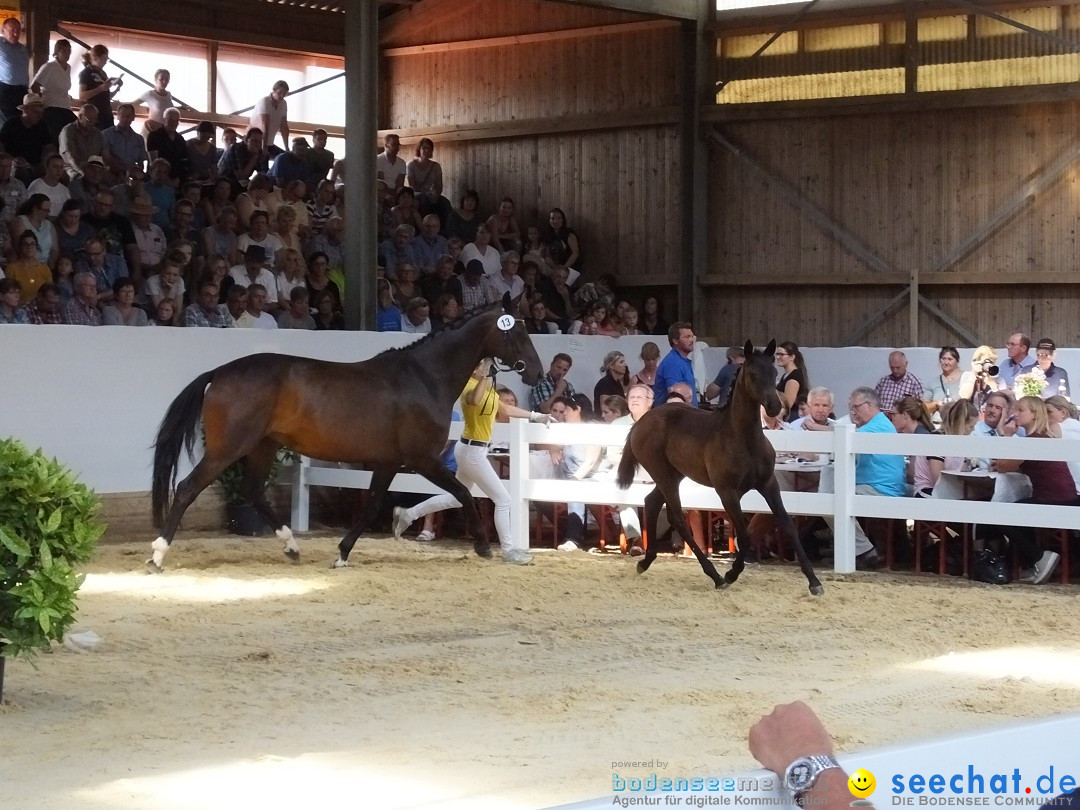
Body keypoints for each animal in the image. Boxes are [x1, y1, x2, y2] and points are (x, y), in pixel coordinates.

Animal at [145, 295, 540, 574]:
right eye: (518, 332)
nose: (535, 371)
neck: (424, 377)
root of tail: (220, 372)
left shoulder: (388, 462)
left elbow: (372, 508)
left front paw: (341, 554)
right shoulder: (422, 459)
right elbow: (463, 494)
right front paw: (483, 547)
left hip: (262, 447)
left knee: (253, 491)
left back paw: (291, 547)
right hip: (228, 448)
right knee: (187, 489)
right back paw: (158, 555)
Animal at [617, 339, 825, 600]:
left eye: (775, 372)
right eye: (753, 374)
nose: (775, 407)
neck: (743, 438)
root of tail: (641, 422)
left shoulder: (768, 484)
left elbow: (787, 525)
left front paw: (814, 581)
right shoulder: (727, 492)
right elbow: (743, 534)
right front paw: (731, 574)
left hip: (674, 475)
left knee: (652, 502)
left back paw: (646, 561)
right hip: (664, 476)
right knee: (678, 519)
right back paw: (715, 576)